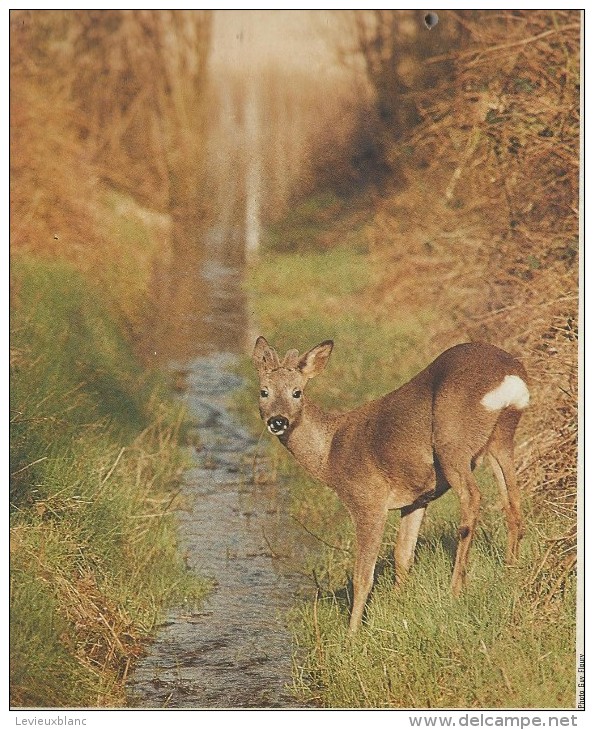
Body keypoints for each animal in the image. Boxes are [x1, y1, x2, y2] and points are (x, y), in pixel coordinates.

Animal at [250, 336, 528, 624]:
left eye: (297, 392)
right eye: (264, 391)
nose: (278, 421)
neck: (330, 454)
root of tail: (510, 375)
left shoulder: (367, 499)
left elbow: (363, 575)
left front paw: (354, 629)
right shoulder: (417, 499)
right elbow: (402, 556)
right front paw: (397, 605)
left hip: (452, 439)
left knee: (473, 498)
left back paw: (456, 589)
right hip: (500, 437)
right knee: (513, 502)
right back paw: (510, 571)